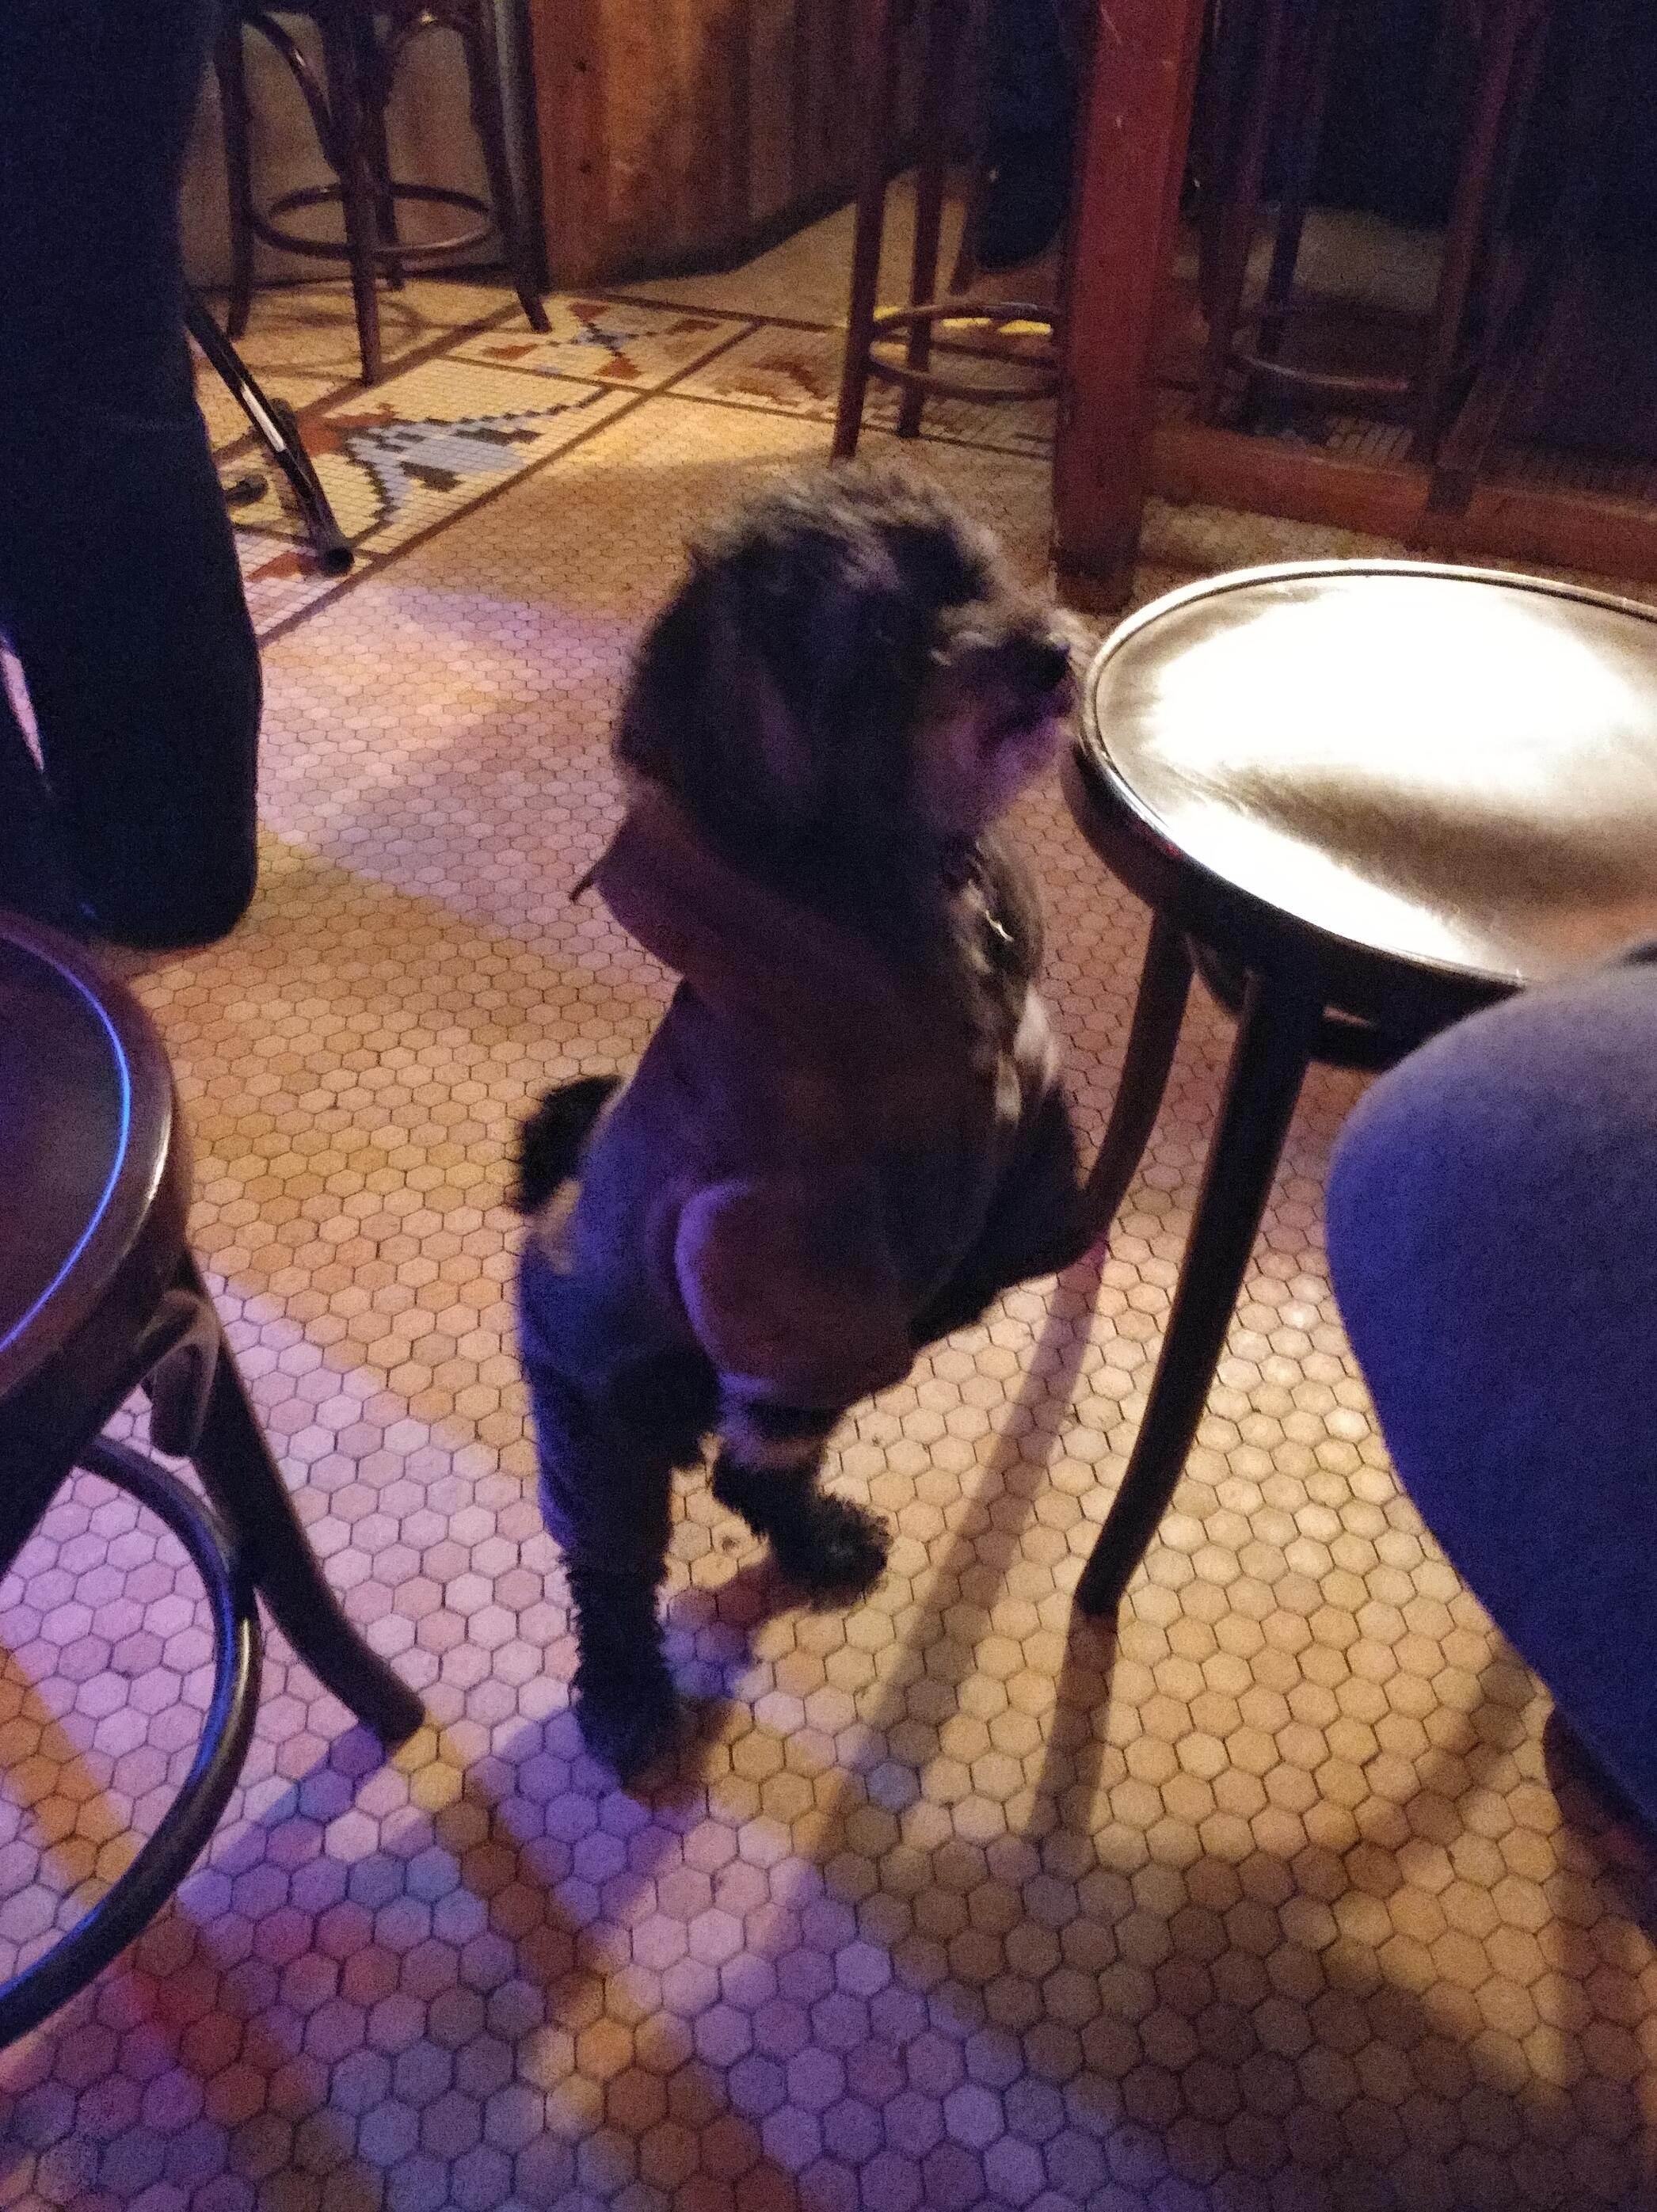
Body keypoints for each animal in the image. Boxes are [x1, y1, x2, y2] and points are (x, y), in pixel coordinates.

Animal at [514, 466, 1097, 1780]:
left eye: (974, 575)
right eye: (878, 647)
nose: (1043, 654)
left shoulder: (1033, 1101)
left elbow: (1020, 1219)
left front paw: (979, 1283)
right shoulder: (764, 1224)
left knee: (754, 1470)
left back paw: (817, 1535)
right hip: (592, 1420)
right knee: (617, 1561)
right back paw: (627, 1693)